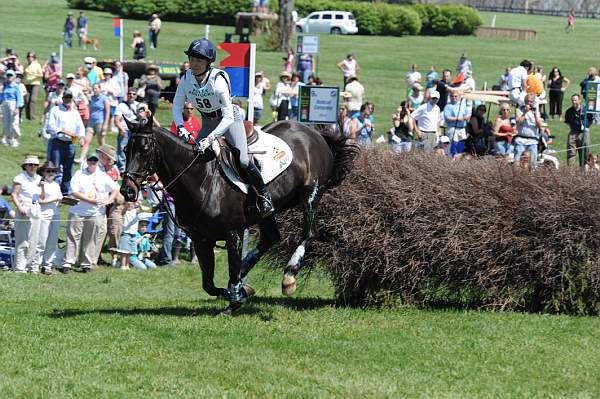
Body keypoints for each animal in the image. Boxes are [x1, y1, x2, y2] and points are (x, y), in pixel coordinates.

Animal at [119, 115, 358, 316]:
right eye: (126, 149)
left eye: (144, 149)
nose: (127, 191)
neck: (201, 179)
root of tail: (314, 132)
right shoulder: (201, 240)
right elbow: (209, 284)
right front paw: (240, 291)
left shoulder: (232, 234)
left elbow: (230, 270)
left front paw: (234, 301)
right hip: (269, 211)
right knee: (271, 238)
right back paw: (245, 275)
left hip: (310, 194)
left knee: (309, 234)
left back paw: (289, 277)